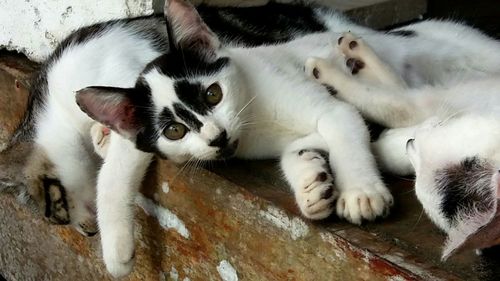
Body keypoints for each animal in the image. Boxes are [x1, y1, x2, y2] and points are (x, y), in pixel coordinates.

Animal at [306, 34, 500, 260]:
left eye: (420, 163)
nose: (411, 141)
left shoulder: (421, 105)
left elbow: (386, 102)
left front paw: (324, 72)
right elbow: (393, 92)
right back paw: (356, 51)